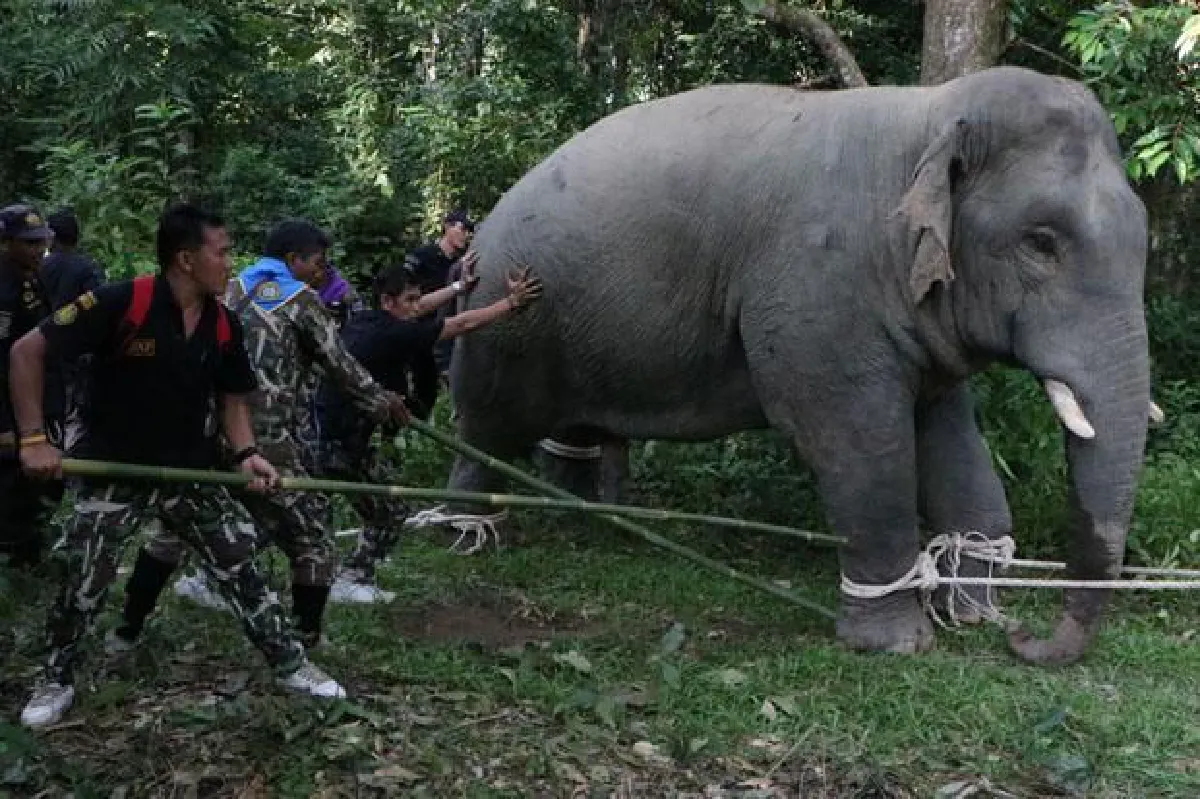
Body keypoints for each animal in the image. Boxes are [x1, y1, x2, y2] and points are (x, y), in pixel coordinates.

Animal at [446, 66, 1152, 666]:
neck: (928, 117)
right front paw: (897, 644)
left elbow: (953, 441)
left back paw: (590, 524)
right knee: (486, 427)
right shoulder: (818, 290)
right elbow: (856, 442)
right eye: (1041, 242)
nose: (1026, 639)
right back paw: (466, 530)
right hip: (503, 316)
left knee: (575, 431)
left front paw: (972, 615)